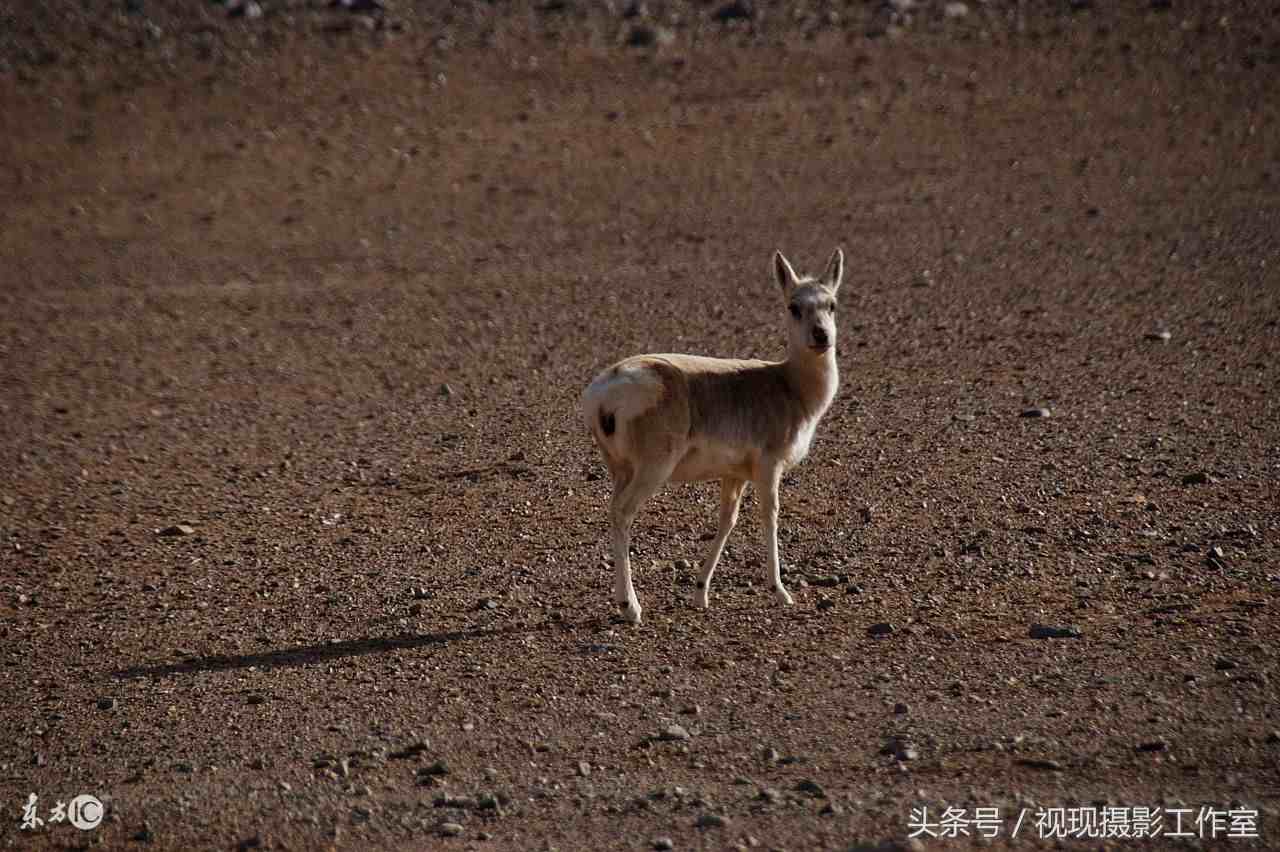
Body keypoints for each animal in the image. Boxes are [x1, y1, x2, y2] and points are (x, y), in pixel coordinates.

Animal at [578, 249, 839, 621]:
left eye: (831, 304)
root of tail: (604, 390)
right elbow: (770, 515)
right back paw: (632, 607)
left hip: (620, 469)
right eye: (794, 305)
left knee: (613, 508)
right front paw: (780, 591)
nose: (821, 336)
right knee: (623, 512)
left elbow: (727, 521)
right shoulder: (769, 466)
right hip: (653, 468)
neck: (788, 384)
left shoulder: (734, 475)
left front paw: (701, 593)